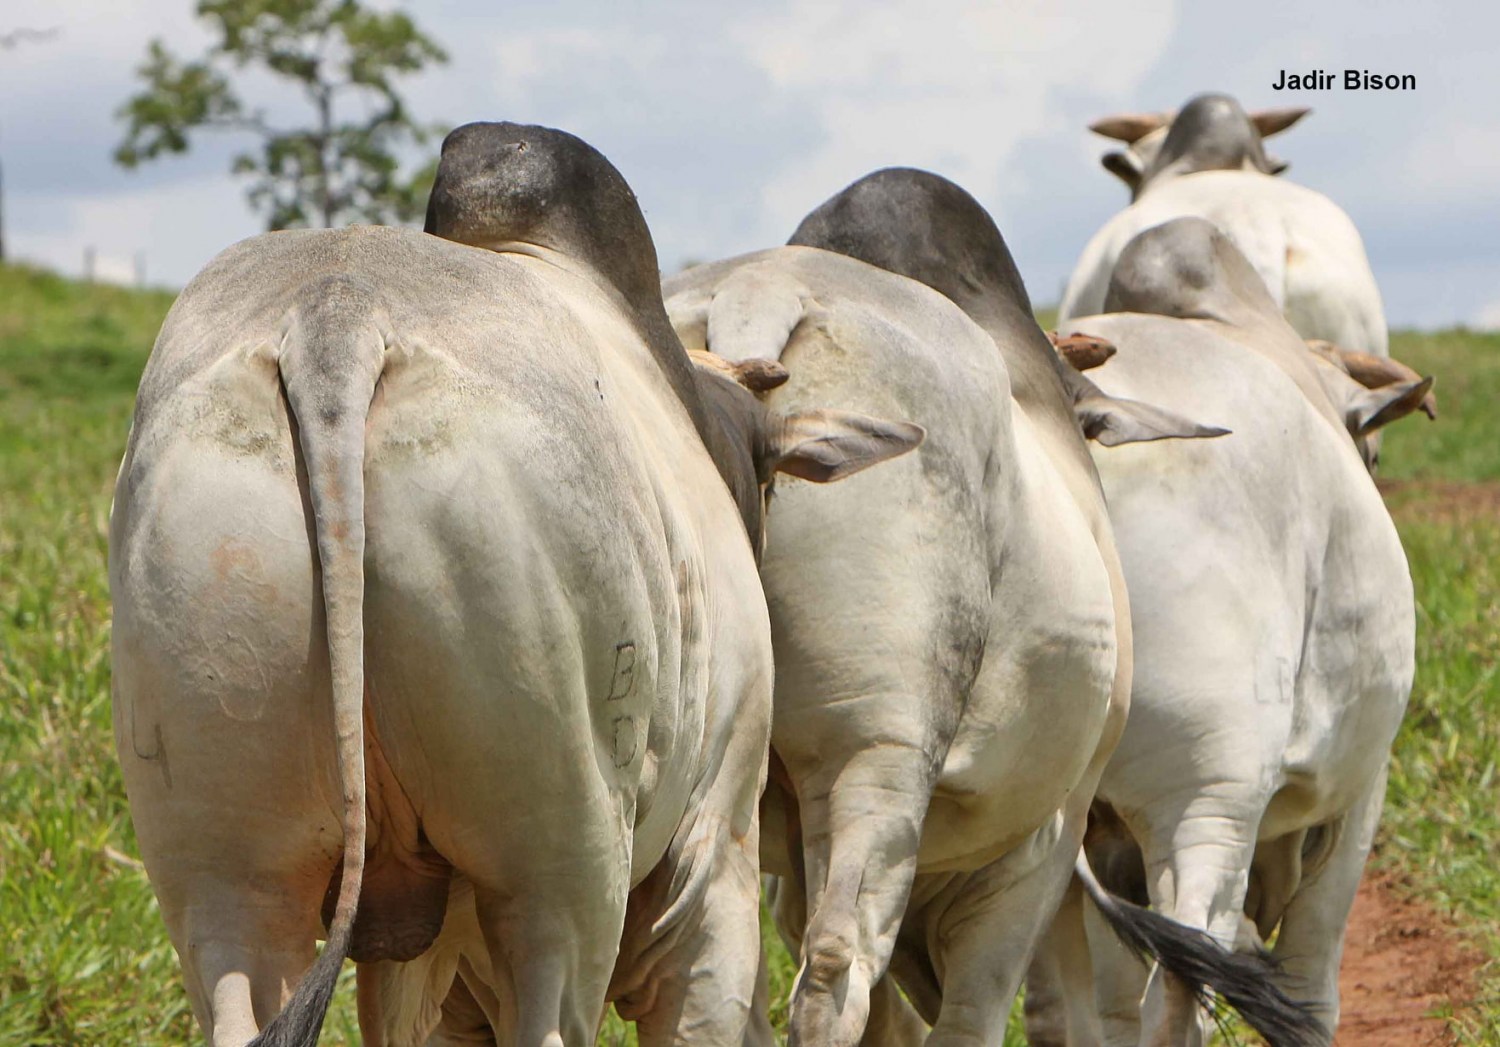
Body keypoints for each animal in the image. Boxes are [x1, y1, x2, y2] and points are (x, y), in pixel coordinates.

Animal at [1026, 214, 1422, 1044]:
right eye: (1370, 451)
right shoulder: (1359, 791)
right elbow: (1312, 981)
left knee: (1053, 1002)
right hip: (1210, 799)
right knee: (1182, 983)